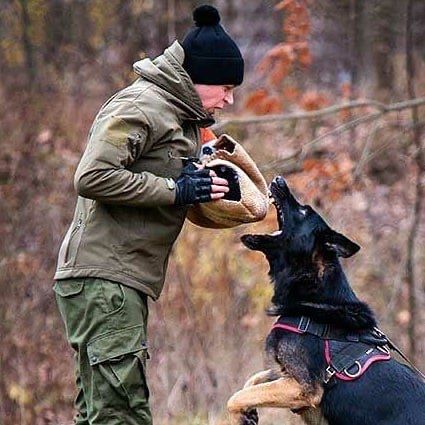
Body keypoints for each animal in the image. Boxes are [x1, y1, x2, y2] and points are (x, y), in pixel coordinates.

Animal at [229, 176, 424, 424]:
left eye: (303, 212)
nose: (279, 180)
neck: (316, 302)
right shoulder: (286, 377)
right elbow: (252, 382)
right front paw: (248, 414)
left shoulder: (302, 388)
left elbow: (236, 397)